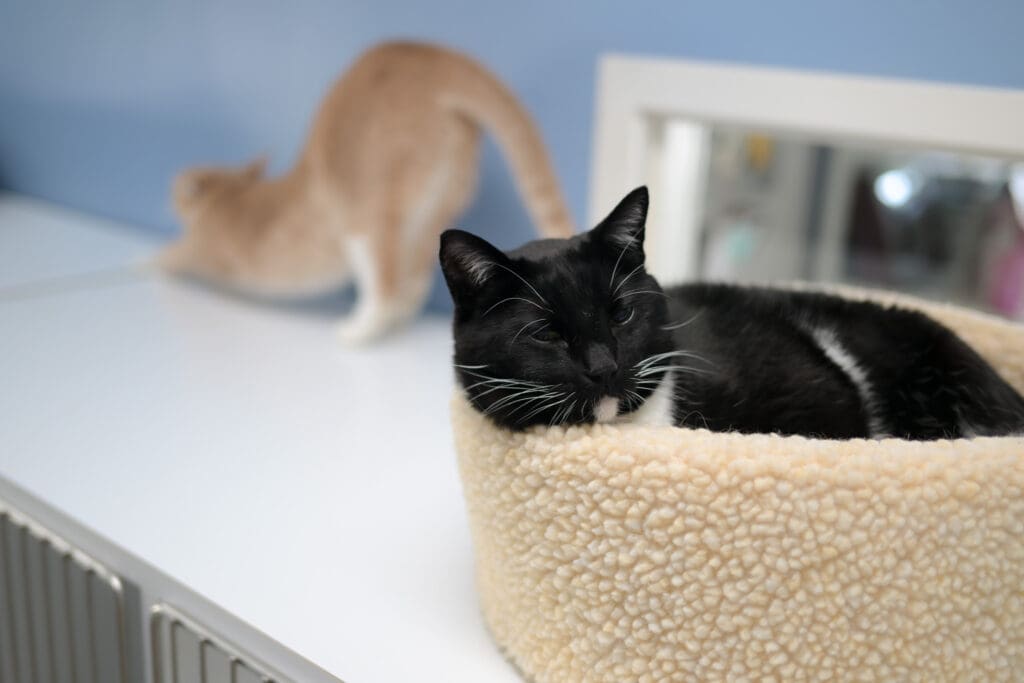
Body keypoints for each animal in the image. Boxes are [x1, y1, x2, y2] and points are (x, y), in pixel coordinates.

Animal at [163, 39, 573, 342]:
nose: (171, 184)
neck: (230, 195)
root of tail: (434, 55)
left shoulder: (203, 247)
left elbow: (170, 256)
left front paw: (152, 267)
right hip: (436, 203)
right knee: (414, 280)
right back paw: (396, 322)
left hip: (368, 214)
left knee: (385, 282)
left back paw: (358, 330)